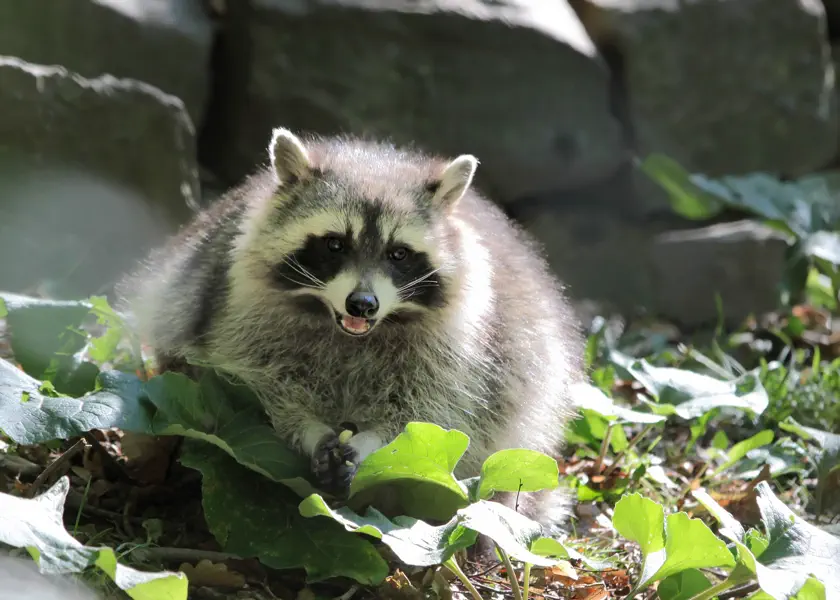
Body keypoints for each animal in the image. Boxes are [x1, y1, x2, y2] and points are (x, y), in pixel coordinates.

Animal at [118, 128, 584, 527]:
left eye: (399, 254)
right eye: (334, 244)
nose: (362, 303)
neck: (350, 331)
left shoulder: (459, 352)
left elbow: (430, 414)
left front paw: (374, 441)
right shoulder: (241, 314)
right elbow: (261, 382)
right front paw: (305, 428)